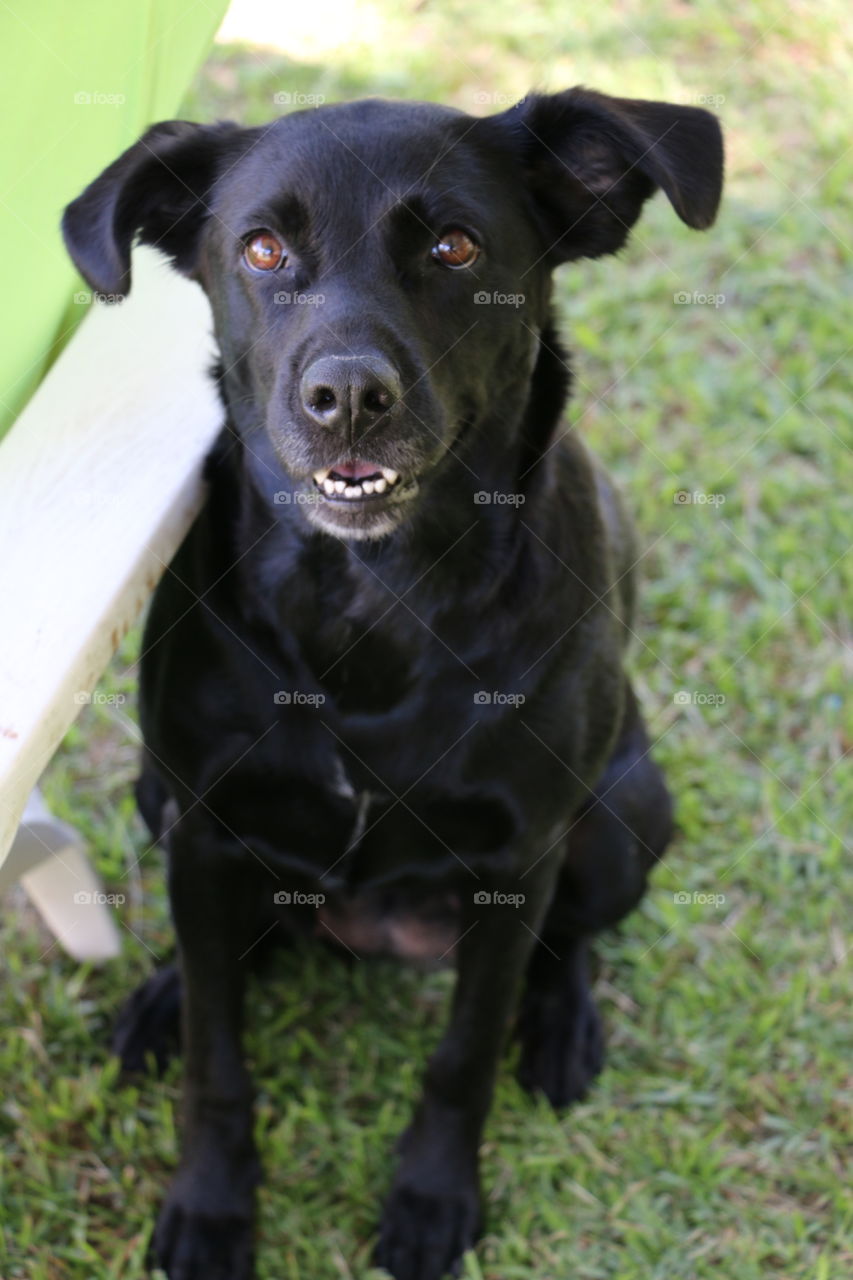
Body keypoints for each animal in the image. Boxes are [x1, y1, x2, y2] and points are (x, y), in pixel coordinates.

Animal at [63, 85, 722, 1274]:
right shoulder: (207, 829)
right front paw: (212, 1204)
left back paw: (561, 1028)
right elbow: (218, 1061)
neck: (368, 599)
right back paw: (161, 1000)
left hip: (619, 820)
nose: (346, 397)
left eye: (455, 246)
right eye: (262, 248)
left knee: (570, 942)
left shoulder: (518, 860)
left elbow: (463, 1056)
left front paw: (432, 1196)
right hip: (156, 797)